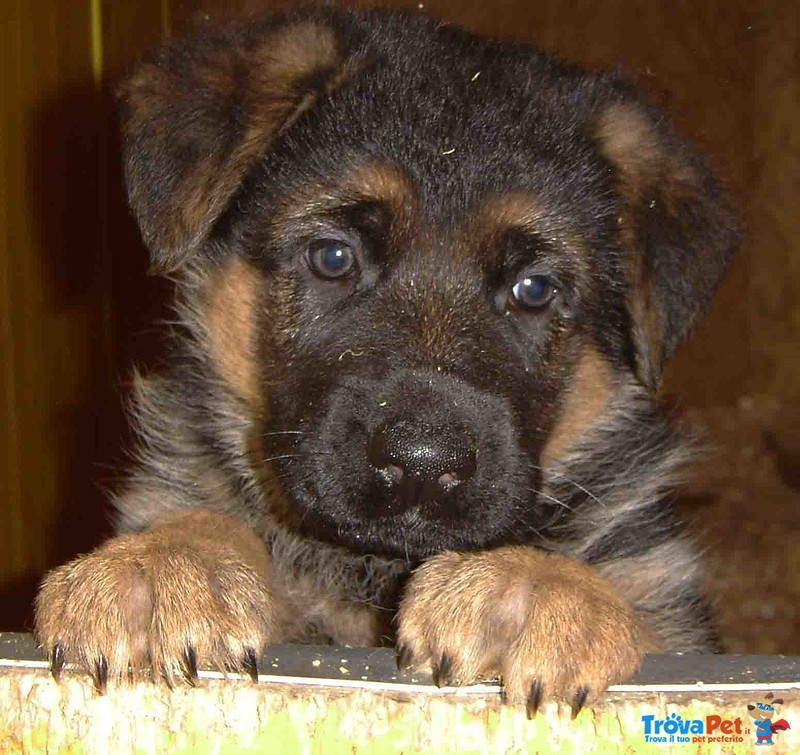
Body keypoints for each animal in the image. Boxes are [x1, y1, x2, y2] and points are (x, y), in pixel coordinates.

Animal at [36, 7, 736, 716]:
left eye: (535, 289)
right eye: (333, 256)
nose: (422, 466)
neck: (370, 568)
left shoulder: (671, 610)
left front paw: (537, 588)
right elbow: (210, 518)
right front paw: (166, 562)